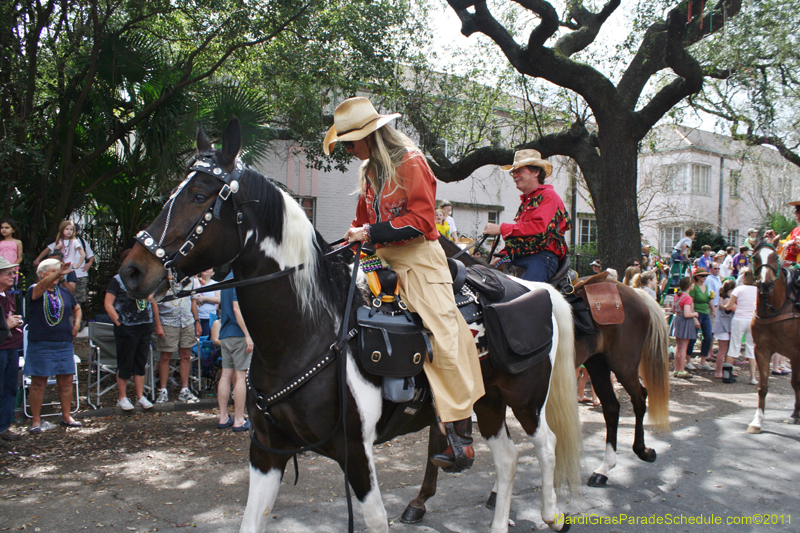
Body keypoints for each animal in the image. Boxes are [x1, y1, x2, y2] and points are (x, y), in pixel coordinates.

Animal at [120, 118, 580, 532]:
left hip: (526, 398)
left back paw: (551, 514)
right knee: (507, 459)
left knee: (548, 445)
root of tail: (536, 287)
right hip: (487, 402)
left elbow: (375, 519)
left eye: (199, 195)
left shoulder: (357, 454)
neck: (305, 333)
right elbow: (252, 521)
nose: (130, 272)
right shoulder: (267, 452)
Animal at [748, 241, 796, 432]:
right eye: (754, 257)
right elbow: (763, 386)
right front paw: (757, 421)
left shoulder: (795, 351)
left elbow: (796, 382)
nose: (766, 284)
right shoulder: (761, 350)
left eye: (775, 257)